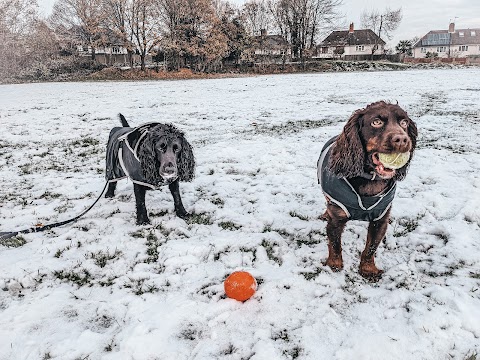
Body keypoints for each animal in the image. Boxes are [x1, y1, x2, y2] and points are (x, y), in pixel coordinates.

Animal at [316, 101, 414, 278]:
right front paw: (334, 265)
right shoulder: (337, 218)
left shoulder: (379, 220)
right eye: (376, 122)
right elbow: (335, 244)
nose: (402, 139)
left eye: (404, 123)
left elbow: (371, 247)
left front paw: (368, 269)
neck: (370, 179)